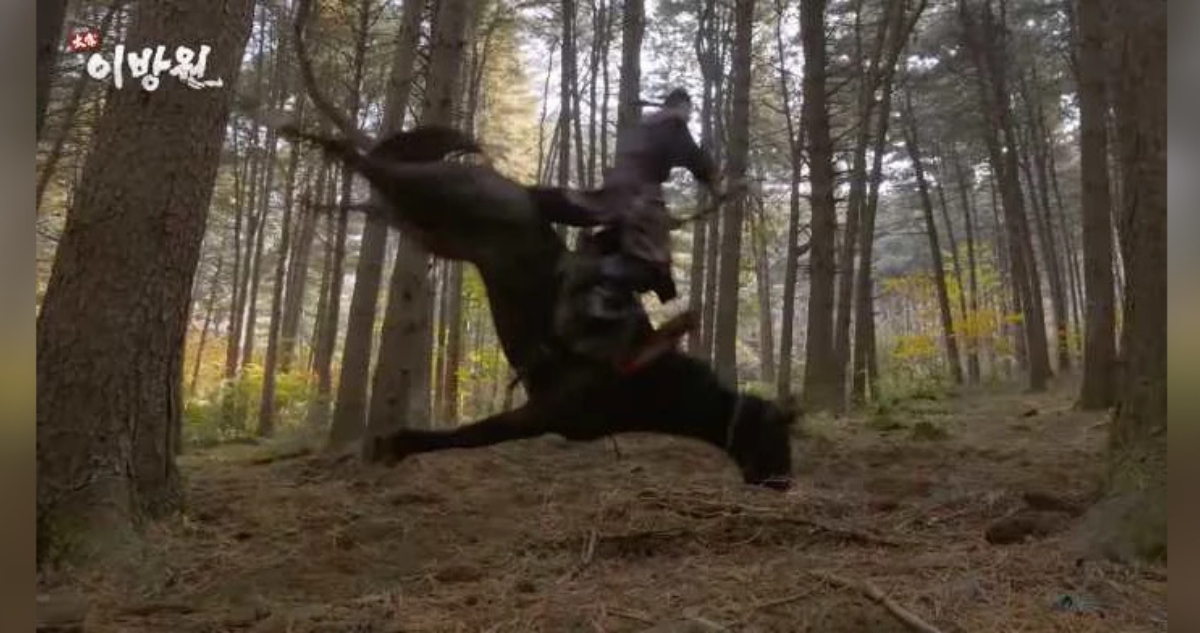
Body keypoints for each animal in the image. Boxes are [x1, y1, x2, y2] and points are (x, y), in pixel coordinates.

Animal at [279, 123, 797, 490]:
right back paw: (306, 137)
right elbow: (468, 436)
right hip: (429, 196)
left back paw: (326, 193)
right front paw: (394, 443)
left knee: (378, 183)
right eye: (776, 435)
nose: (785, 483)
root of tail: (510, 185)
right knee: (369, 161)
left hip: (434, 228)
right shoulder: (541, 413)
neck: (645, 379)